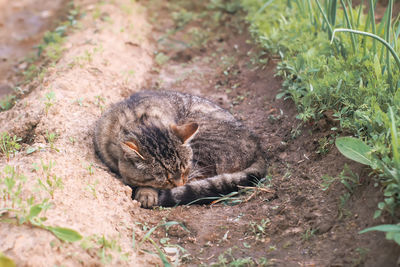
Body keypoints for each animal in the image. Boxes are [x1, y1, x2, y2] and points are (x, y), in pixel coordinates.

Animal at [94, 91, 268, 208]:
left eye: (185, 169)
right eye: (165, 179)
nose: (179, 184)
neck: (139, 118)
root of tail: (259, 149)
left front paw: (147, 193)